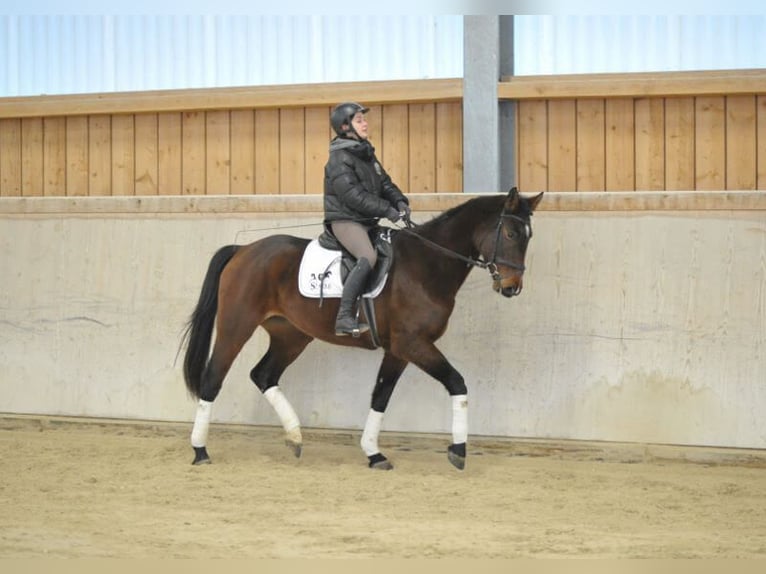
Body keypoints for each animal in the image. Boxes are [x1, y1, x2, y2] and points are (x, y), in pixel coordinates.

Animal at [182, 189, 544, 472]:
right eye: (511, 235)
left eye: (528, 236)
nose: (512, 287)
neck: (427, 265)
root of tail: (243, 250)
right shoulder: (414, 344)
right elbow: (457, 382)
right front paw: (458, 450)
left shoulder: (399, 349)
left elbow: (381, 395)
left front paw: (374, 453)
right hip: (236, 326)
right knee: (213, 378)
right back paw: (200, 451)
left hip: (291, 336)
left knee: (263, 375)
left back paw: (295, 437)